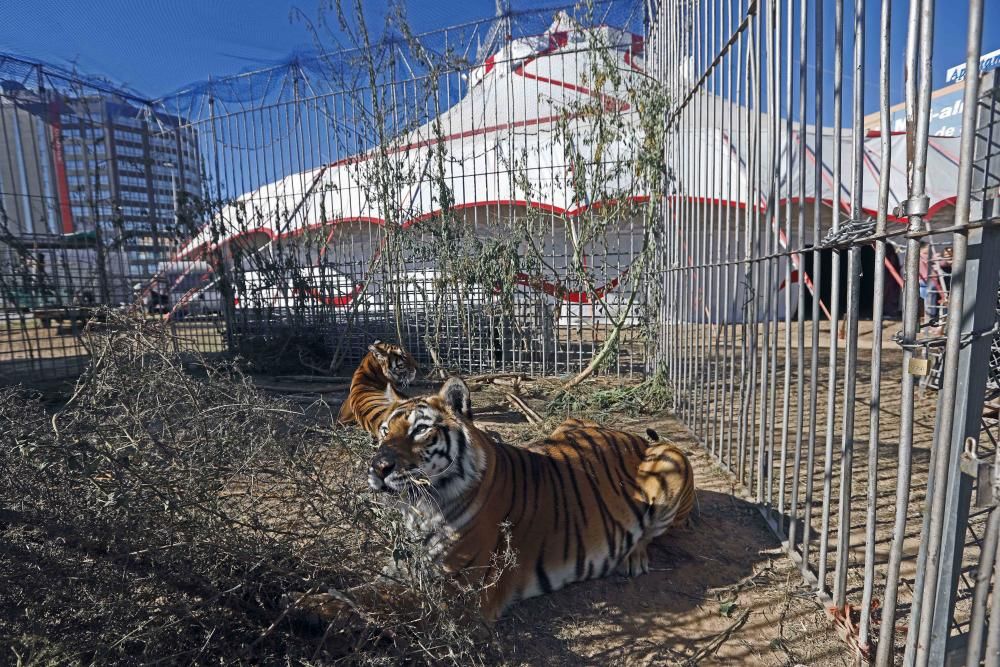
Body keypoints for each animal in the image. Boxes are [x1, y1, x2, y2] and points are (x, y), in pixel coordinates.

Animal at [368, 378, 696, 624]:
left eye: (421, 430)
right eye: (384, 430)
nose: (378, 467)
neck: (419, 508)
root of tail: (635, 437)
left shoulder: (459, 589)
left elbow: (385, 606)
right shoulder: (403, 562)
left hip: (672, 462)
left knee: (649, 533)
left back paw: (633, 558)